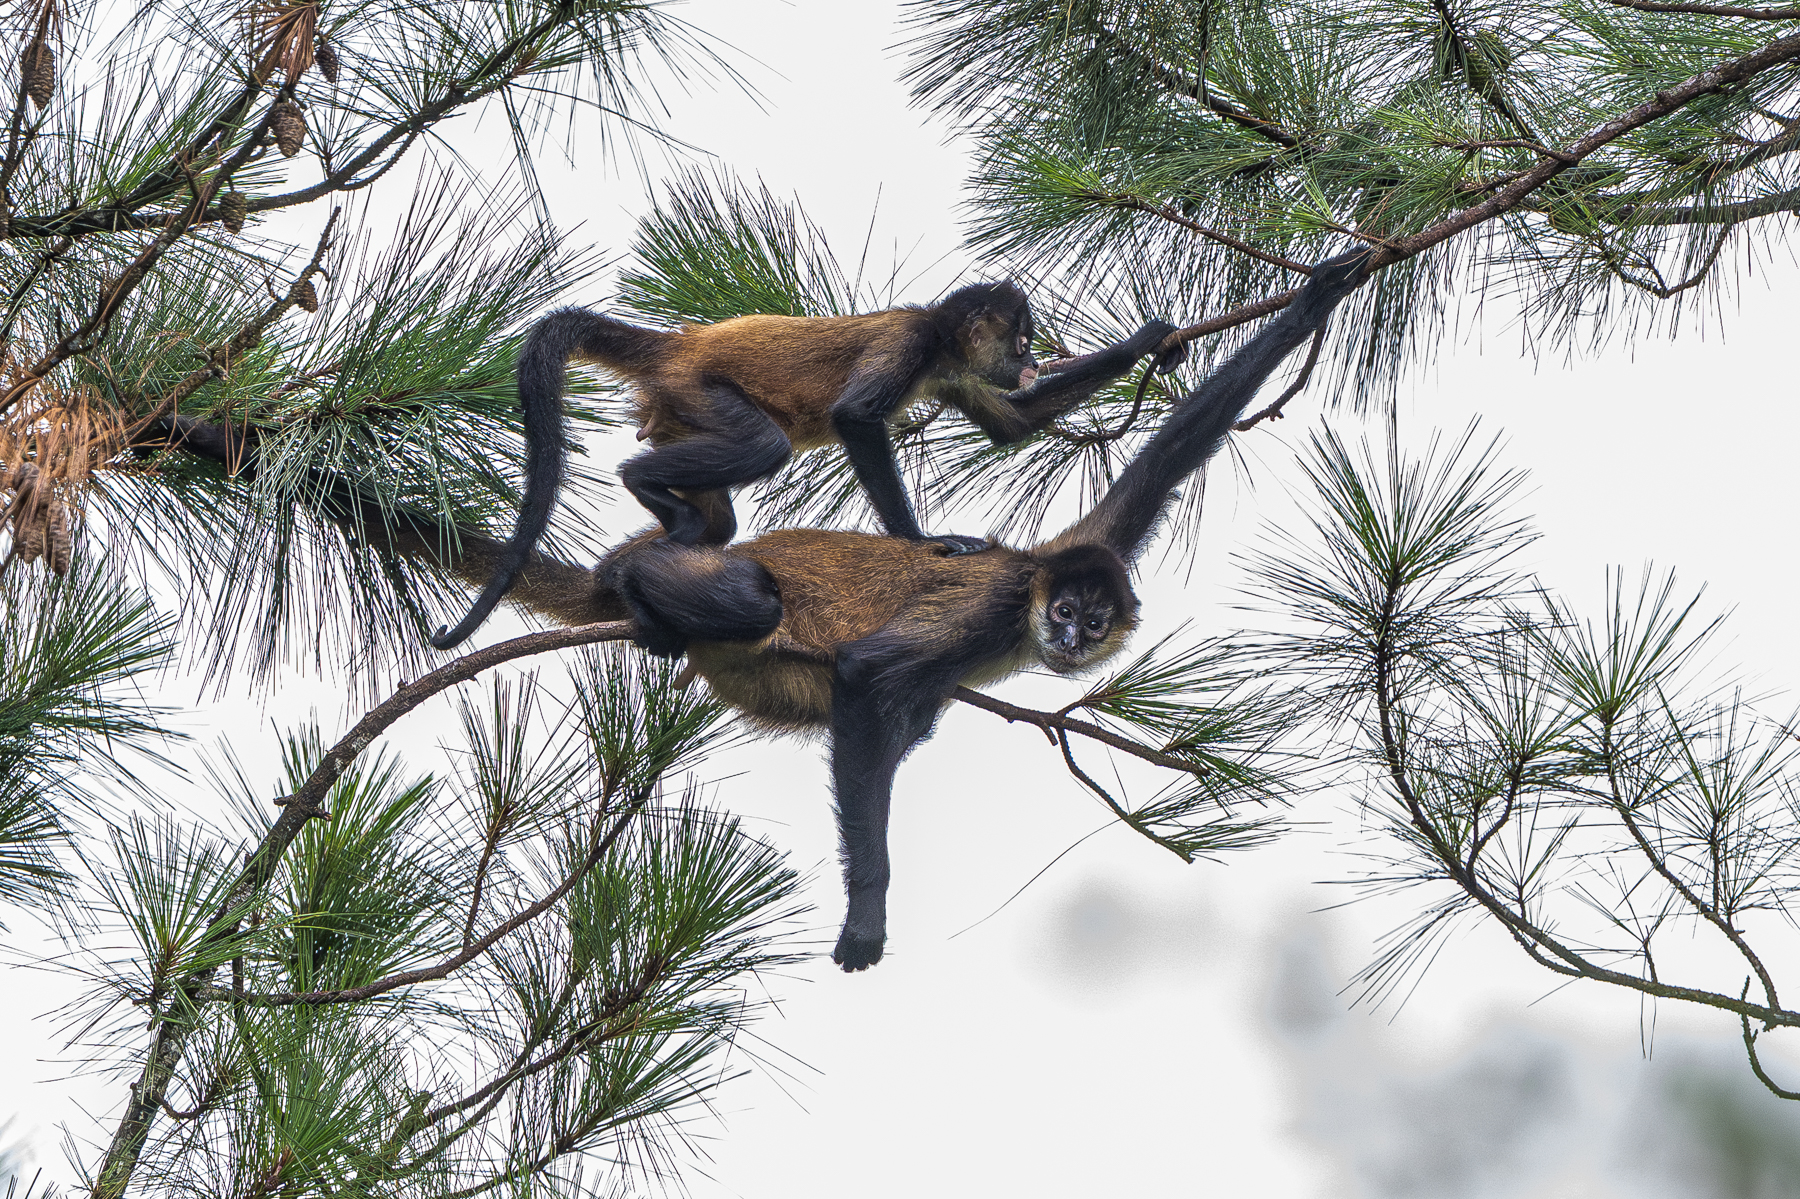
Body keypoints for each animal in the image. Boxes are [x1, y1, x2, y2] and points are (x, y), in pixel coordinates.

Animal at [426, 286, 1187, 650]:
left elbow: (1013, 427)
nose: (1031, 361)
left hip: (681, 413)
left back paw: (637, 565)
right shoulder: (911, 343)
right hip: (700, 392)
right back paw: (641, 487)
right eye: (1022, 339)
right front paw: (924, 541)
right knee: (763, 449)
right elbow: (856, 419)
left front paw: (1150, 342)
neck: (939, 338)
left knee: (718, 523)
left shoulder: (947, 369)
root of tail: (678, 346)